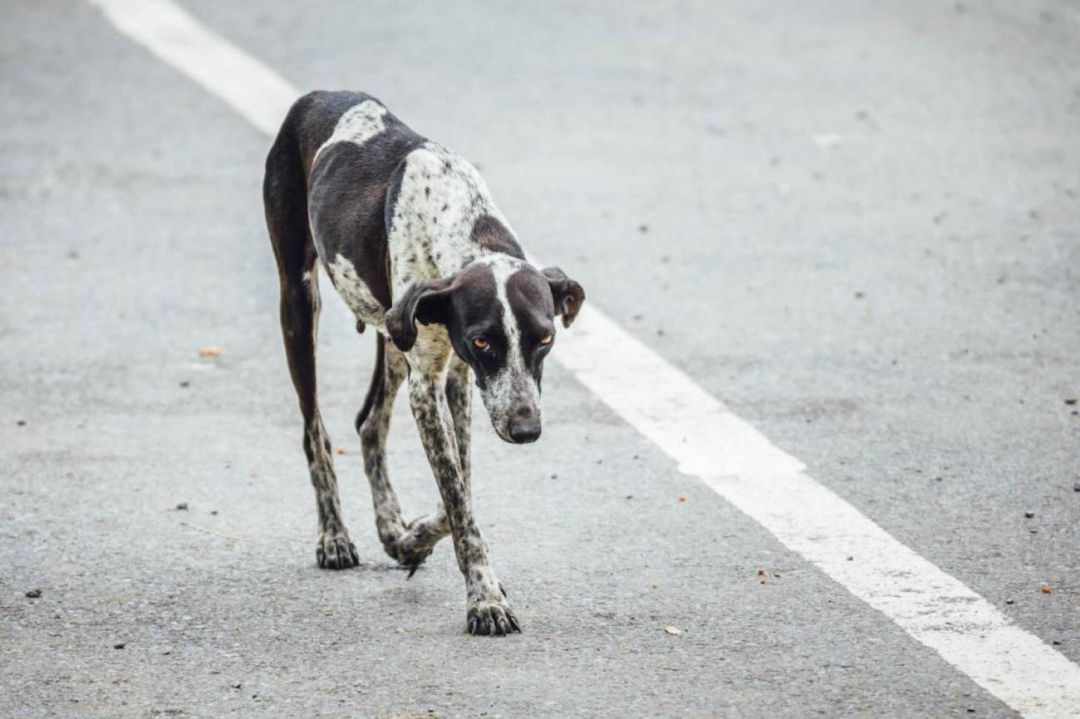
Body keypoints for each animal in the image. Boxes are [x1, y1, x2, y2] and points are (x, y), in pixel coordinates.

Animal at [261, 91, 587, 634]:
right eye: (482, 341)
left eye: (545, 339)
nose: (526, 430)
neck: (464, 222)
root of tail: (318, 96)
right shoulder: (430, 384)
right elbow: (457, 496)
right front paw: (484, 598)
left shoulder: (456, 378)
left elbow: (460, 487)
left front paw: (413, 538)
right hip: (300, 303)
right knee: (316, 432)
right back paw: (334, 535)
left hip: (394, 338)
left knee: (369, 422)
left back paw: (391, 525)